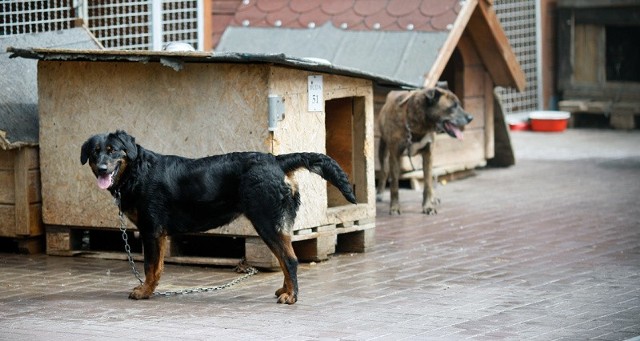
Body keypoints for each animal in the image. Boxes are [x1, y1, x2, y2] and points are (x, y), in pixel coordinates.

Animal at [80, 129, 356, 302]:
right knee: (284, 260)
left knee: (289, 260)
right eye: (95, 153)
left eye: (112, 150)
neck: (137, 171)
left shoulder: (152, 230)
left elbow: (150, 267)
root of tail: (276, 161)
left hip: (267, 222)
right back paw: (285, 290)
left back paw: (292, 296)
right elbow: (156, 267)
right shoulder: (156, 234)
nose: (102, 168)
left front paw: (144, 292)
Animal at [378, 87, 472, 215]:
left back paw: (433, 198)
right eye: (453, 106)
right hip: (383, 148)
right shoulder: (394, 155)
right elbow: (394, 185)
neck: (418, 125)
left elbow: (427, 183)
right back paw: (379, 193)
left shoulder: (428, 154)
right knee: (384, 171)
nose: (471, 118)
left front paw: (427, 206)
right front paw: (395, 207)